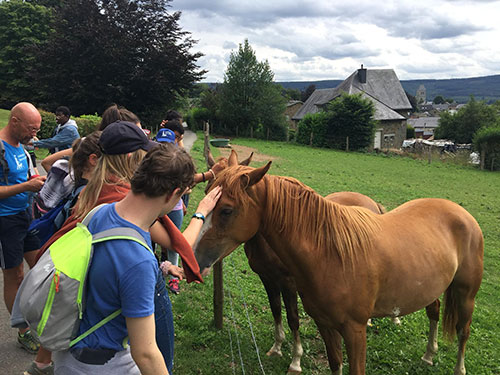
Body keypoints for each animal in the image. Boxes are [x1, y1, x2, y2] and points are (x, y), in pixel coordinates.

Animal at [195, 163, 484, 374]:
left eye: (227, 210)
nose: (195, 257)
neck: (332, 255)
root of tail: (461, 213)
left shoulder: (354, 331)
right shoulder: (325, 324)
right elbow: (334, 364)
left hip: (465, 295)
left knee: (464, 331)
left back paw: (458, 368)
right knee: (434, 311)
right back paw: (428, 355)